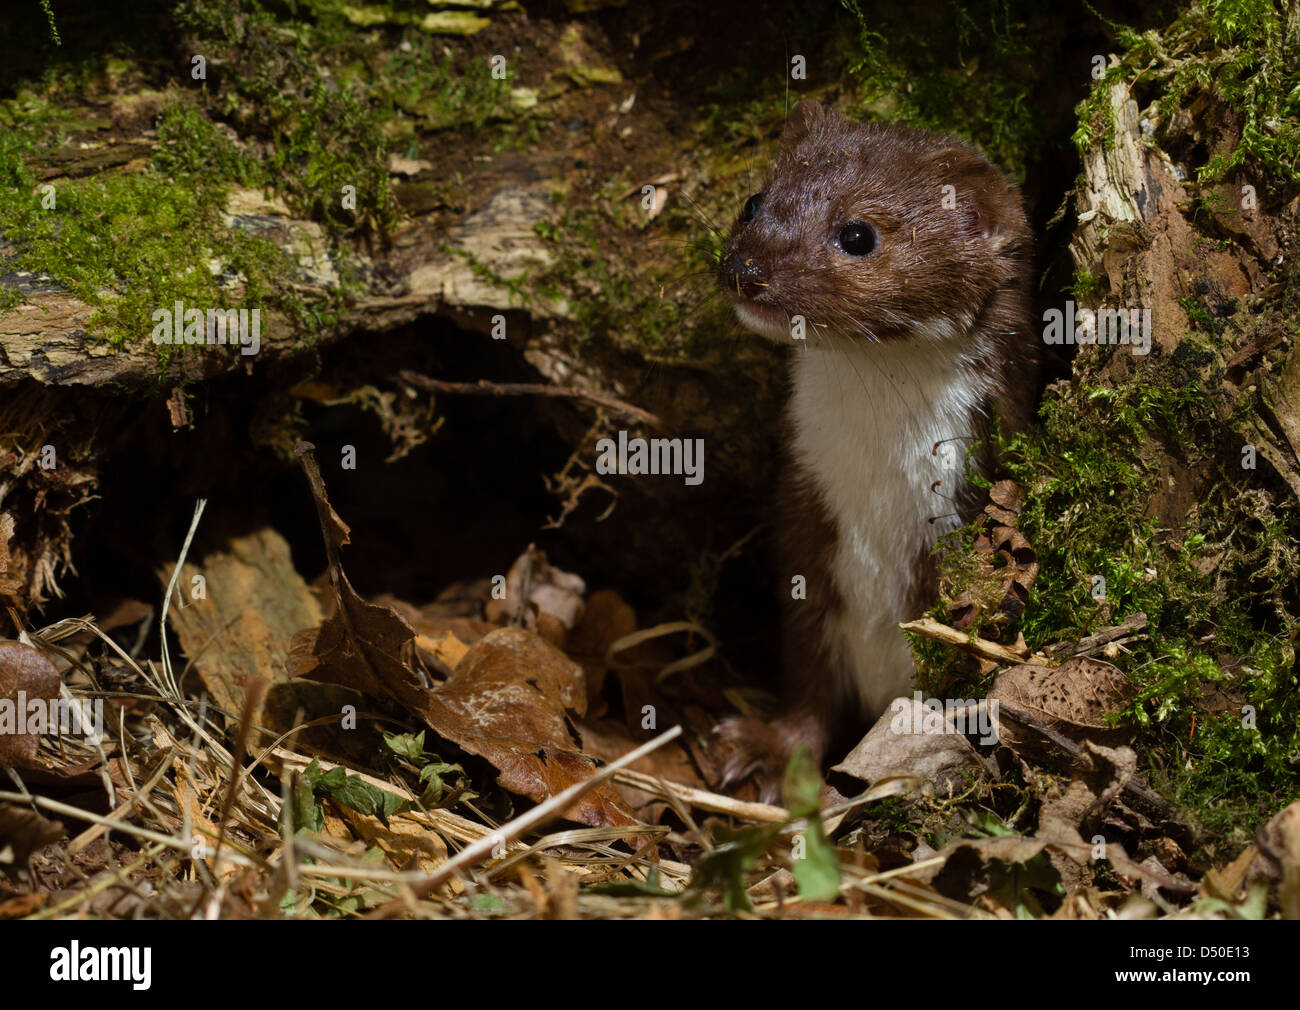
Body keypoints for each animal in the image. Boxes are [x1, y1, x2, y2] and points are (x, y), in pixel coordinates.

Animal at [717, 100, 1029, 795]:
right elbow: (808, 682)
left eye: (858, 234)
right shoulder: (804, 534)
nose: (747, 271)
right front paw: (766, 751)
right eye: (753, 201)